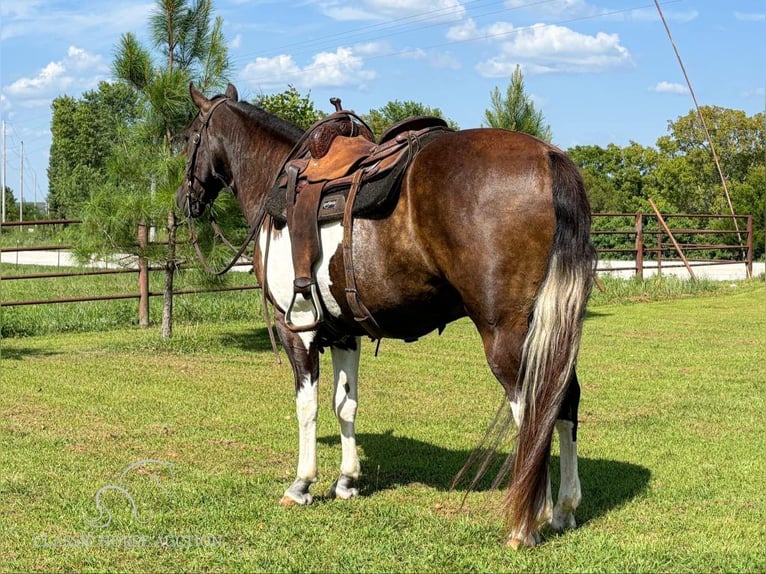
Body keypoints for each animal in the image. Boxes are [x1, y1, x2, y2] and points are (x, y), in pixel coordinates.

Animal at [177, 82, 596, 548]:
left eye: (189, 137)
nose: (183, 202)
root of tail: (548, 157)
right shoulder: (343, 332)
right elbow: (345, 404)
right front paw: (346, 481)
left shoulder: (297, 328)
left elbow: (307, 406)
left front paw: (301, 484)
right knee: (564, 399)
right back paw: (563, 509)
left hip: (506, 336)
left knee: (533, 410)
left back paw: (526, 524)